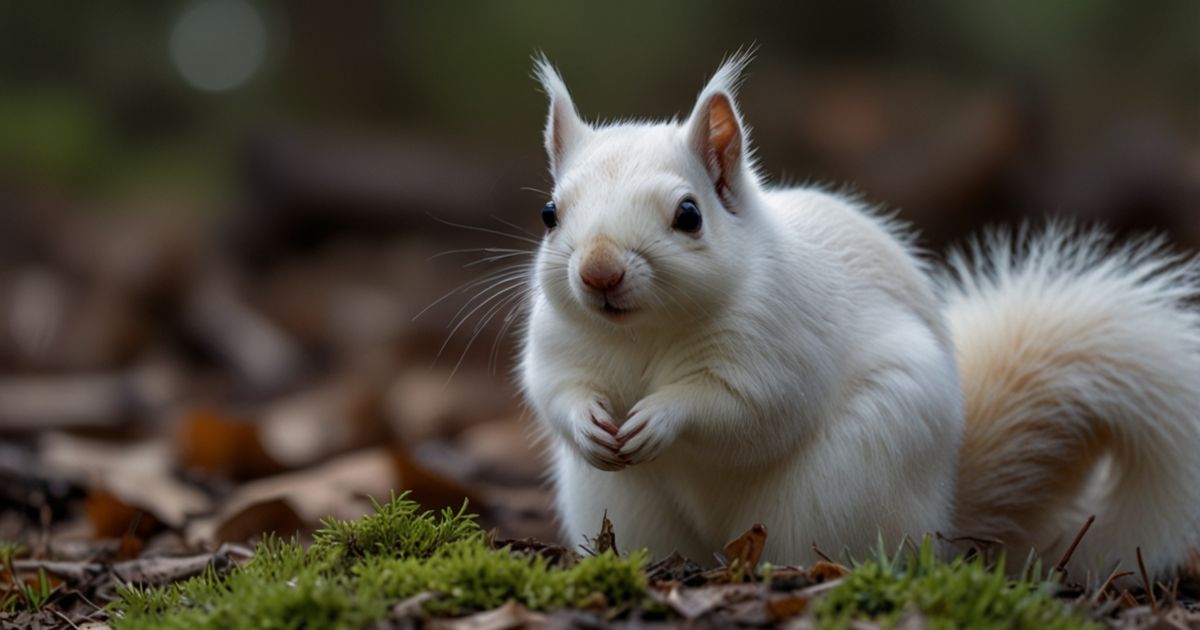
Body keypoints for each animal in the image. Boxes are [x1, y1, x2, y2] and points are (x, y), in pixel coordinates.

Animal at [520, 51, 1200, 578]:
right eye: (550, 213)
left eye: (689, 215)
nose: (599, 272)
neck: (644, 334)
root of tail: (944, 524)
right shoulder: (557, 343)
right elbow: (554, 390)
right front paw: (588, 422)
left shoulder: (779, 345)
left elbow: (747, 410)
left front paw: (661, 416)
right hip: (621, 502)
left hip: (838, 489)